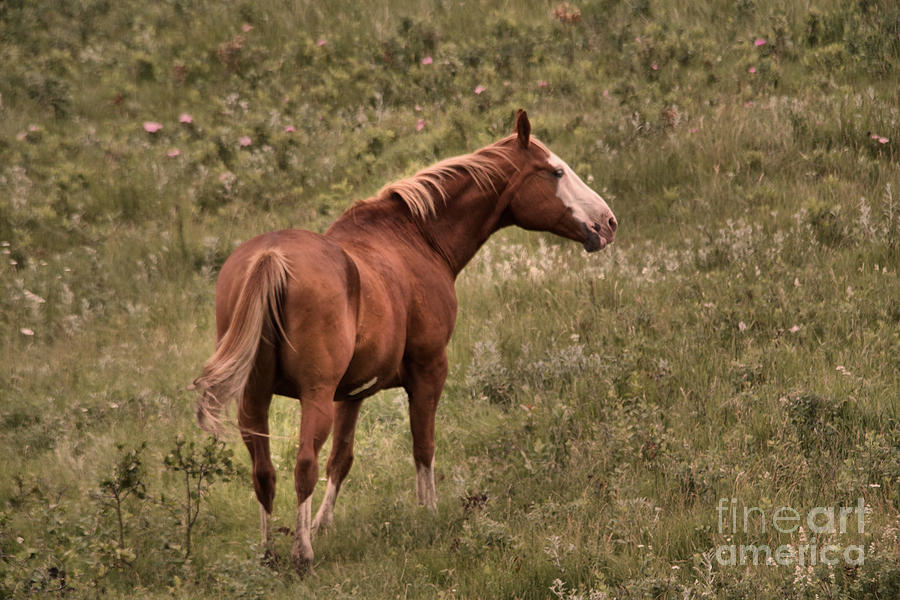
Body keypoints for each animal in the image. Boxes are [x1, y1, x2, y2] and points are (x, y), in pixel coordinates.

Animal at [192, 110, 616, 576]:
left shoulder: (351, 395)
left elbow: (342, 459)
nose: (607, 222)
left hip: (256, 398)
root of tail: (271, 257)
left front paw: (324, 523)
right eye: (555, 171)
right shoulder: (429, 369)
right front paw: (428, 511)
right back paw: (302, 555)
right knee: (303, 464)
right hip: (313, 395)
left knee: (263, 470)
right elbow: (422, 445)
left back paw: (269, 555)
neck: (417, 238)